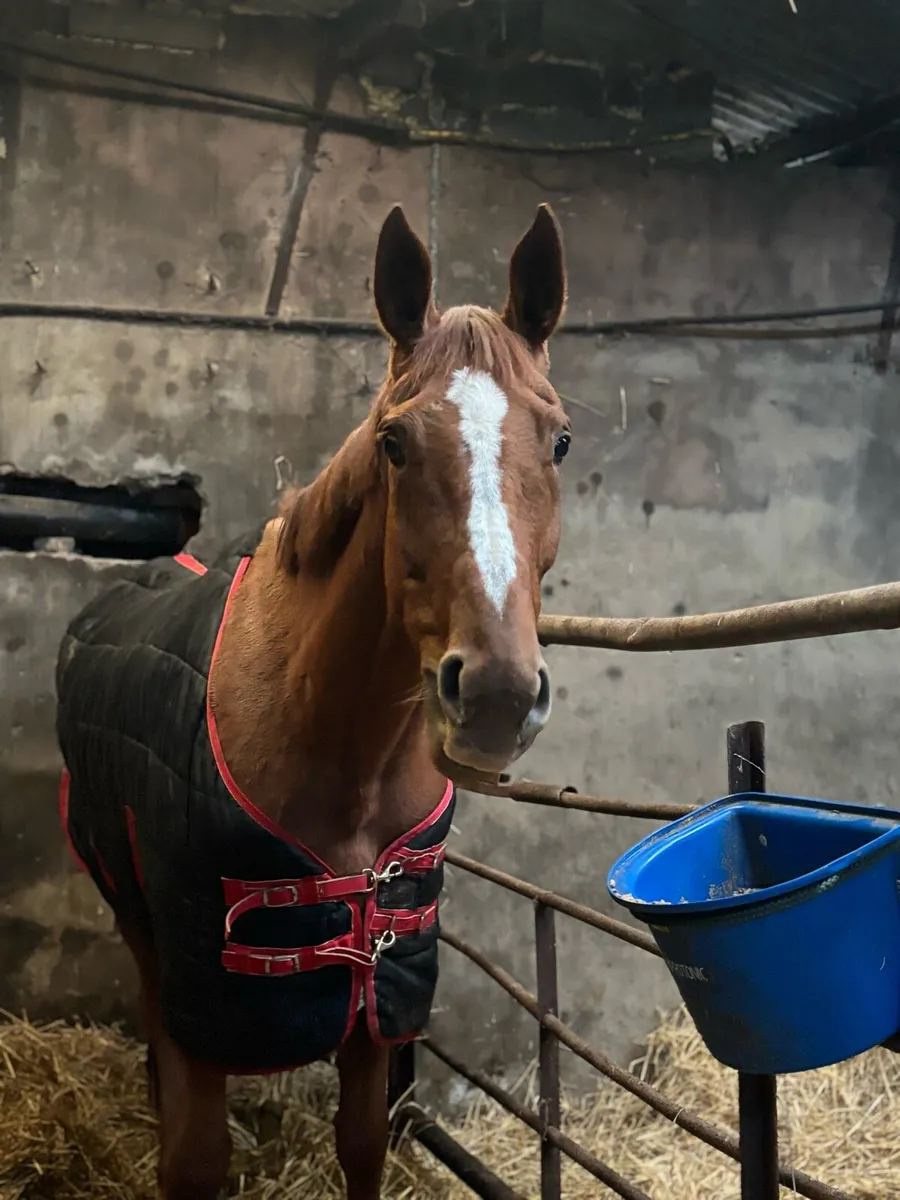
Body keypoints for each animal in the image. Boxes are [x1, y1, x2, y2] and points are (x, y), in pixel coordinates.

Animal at [55, 201, 570, 1199]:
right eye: (394, 442)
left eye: (560, 439)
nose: (495, 694)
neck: (345, 756)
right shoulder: (203, 991)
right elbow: (194, 1159)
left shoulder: (378, 992)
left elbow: (363, 1143)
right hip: (134, 914)